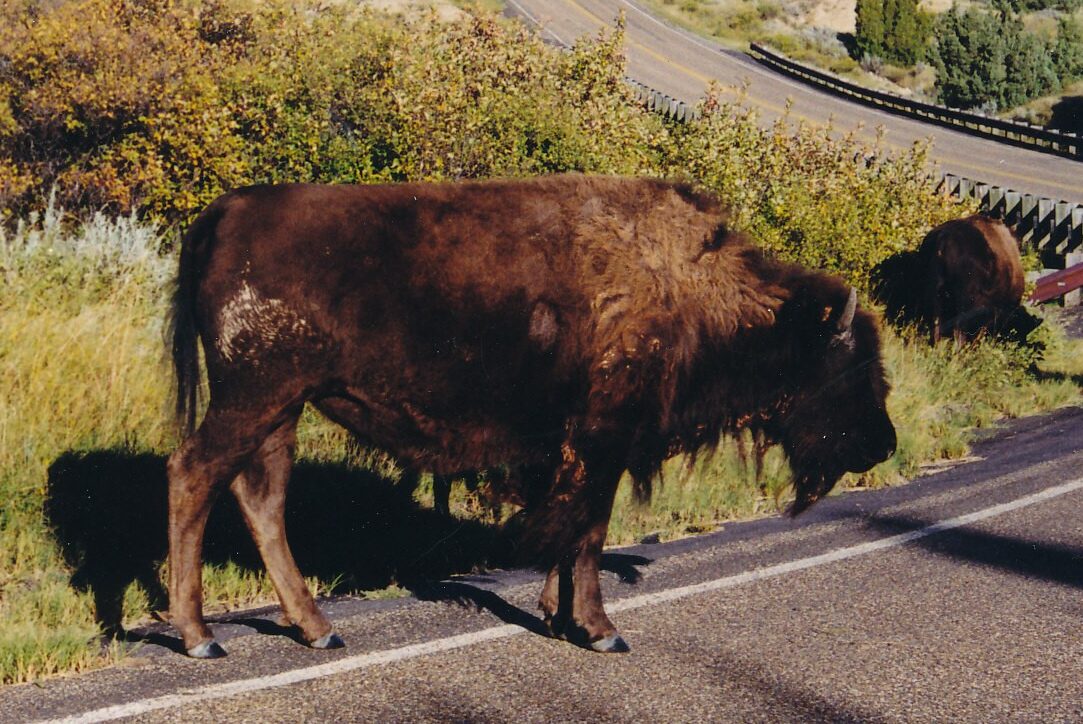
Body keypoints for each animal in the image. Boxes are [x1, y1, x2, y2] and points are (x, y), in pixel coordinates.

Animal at [167, 174, 896, 658]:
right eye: (852, 366)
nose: (885, 444)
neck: (688, 287)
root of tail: (228, 210)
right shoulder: (604, 440)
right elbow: (589, 531)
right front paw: (601, 632)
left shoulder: (570, 448)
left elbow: (569, 529)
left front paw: (554, 614)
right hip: (253, 397)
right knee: (193, 475)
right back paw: (200, 637)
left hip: (280, 409)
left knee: (260, 499)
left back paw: (317, 629)